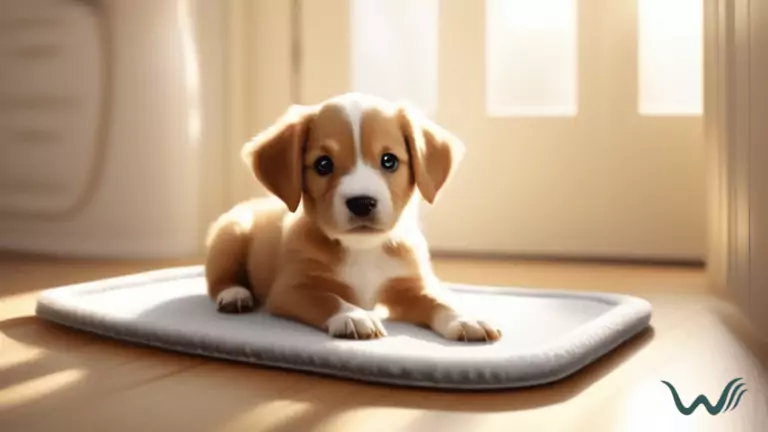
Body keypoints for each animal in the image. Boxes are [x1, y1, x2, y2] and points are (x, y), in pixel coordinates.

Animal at [207, 93, 500, 342]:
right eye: (323, 164)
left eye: (389, 160)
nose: (362, 203)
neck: (364, 249)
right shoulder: (290, 290)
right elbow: (328, 298)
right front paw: (353, 316)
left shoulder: (411, 286)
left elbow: (441, 300)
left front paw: (466, 319)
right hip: (231, 232)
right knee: (217, 279)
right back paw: (234, 294)